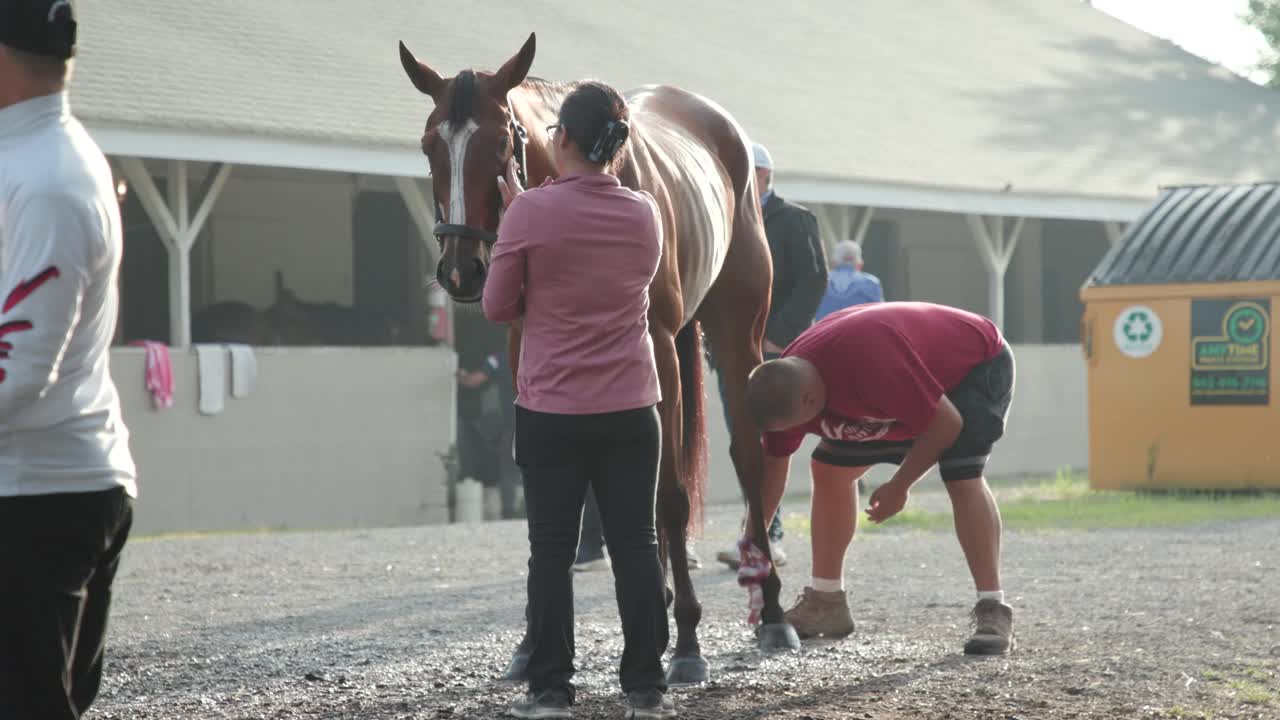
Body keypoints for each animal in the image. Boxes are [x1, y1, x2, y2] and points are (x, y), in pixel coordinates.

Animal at [398, 32, 799, 686]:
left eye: (501, 140)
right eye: (431, 144)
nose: (460, 271)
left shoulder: (657, 348)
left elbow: (671, 494)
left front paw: (688, 642)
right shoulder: (528, 354)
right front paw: (531, 643)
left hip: (737, 334)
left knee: (747, 457)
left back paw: (769, 613)